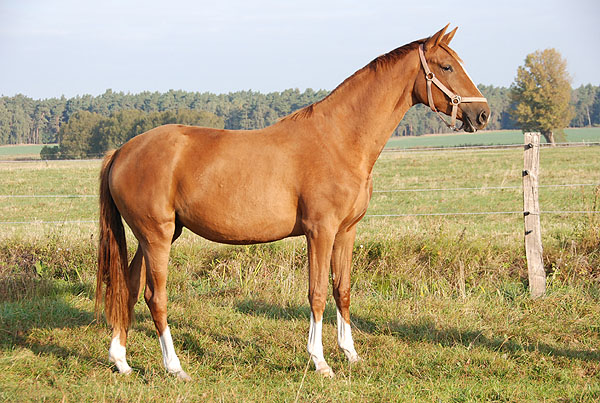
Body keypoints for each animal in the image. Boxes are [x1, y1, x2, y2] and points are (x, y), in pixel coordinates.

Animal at [94, 24, 488, 378]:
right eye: (447, 67)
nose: (482, 114)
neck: (339, 139)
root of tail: (122, 151)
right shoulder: (320, 231)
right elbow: (317, 294)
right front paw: (321, 362)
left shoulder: (346, 231)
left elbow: (342, 290)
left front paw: (351, 354)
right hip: (156, 237)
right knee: (154, 297)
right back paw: (174, 367)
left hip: (155, 237)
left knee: (128, 287)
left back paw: (122, 362)